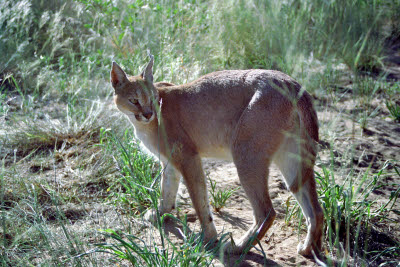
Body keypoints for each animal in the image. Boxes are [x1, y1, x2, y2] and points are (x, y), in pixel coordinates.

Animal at [111, 54, 324, 258]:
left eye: (152, 98)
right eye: (134, 100)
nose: (148, 114)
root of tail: (290, 81)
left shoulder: (188, 157)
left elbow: (199, 201)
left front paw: (208, 238)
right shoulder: (170, 162)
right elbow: (167, 190)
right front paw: (159, 213)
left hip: (245, 154)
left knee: (267, 212)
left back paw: (238, 247)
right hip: (291, 160)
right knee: (316, 210)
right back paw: (309, 249)